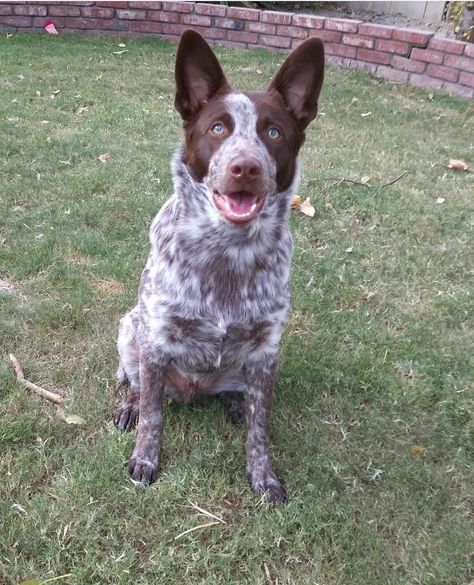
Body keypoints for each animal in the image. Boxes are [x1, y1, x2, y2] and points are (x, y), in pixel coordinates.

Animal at [114, 28, 326, 502]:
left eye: (273, 132)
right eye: (217, 128)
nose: (245, 167)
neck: (227, 252)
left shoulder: (266, 350)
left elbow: (260, 429)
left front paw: (263, 476)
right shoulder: (156, 337)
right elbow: (153, 414)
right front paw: (145, 459)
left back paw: (233, 401)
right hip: (129, 329)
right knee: (137, 384)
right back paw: (130, 406)